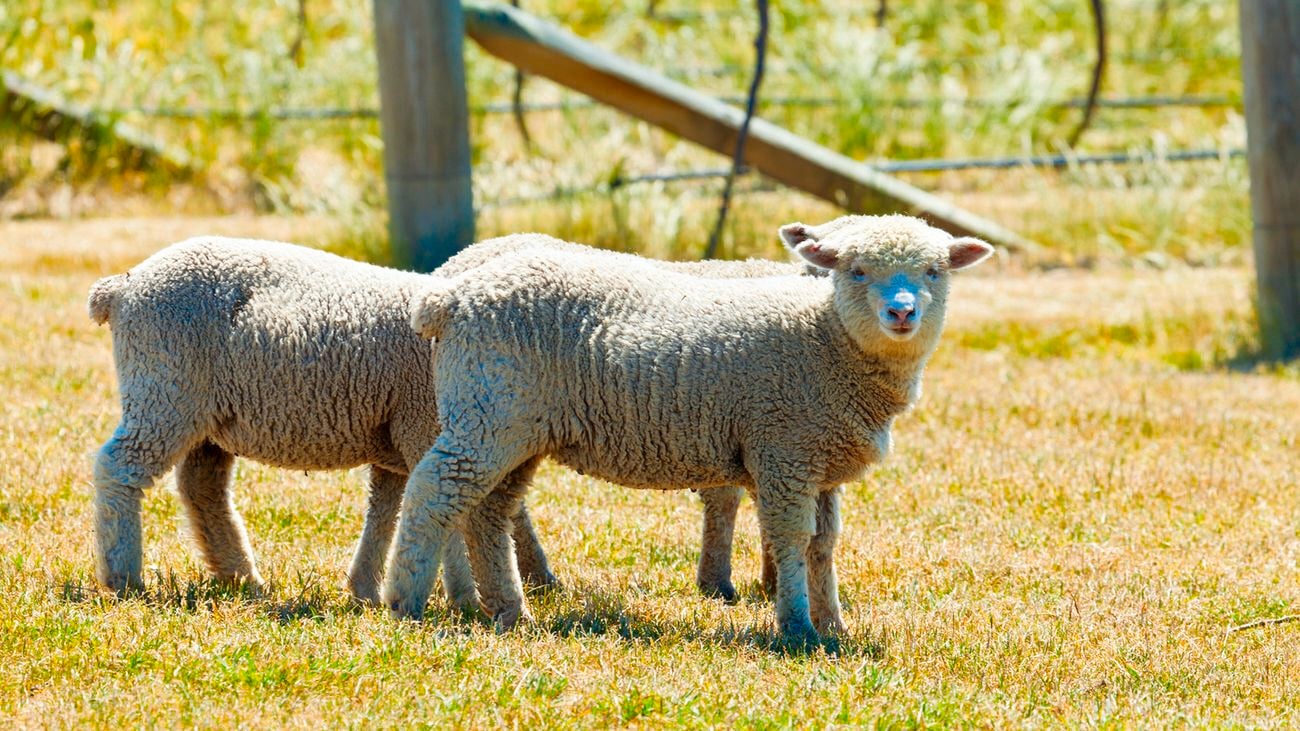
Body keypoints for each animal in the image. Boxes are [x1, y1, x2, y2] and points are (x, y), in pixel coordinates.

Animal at [87, 233, 799, 606]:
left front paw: (370, 589)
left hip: (206, 414)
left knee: (202, 486)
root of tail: (122, 286)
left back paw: (242, 577)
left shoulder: (404, 435)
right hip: (166, 389)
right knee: (119, 469)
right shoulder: (431, 427)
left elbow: (390, 509)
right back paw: (124, 576)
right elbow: (443, 511)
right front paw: (459, 595)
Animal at [384, 215, 993, 643]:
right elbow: (791, 540)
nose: (902, 313)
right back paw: (405, 603)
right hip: (487, 410)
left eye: (934, 271)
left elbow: (823, 545)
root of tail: (450, 296)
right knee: (436, 489)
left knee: (489, 511)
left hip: (517, 428)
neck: (825, 339)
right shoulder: (784, 449)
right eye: (856, 270)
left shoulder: (818, 461)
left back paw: (511, 611)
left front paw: (833, 625)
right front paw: (797, 628)